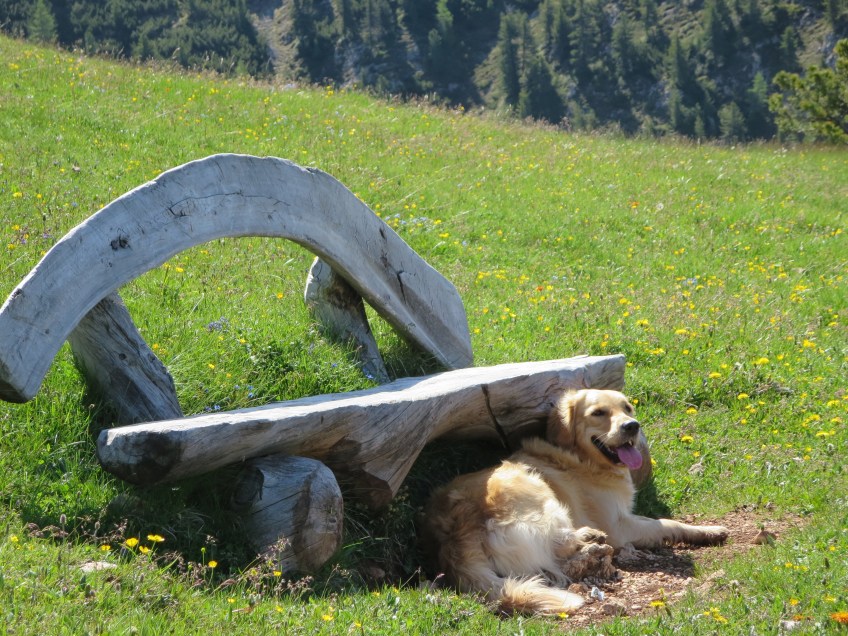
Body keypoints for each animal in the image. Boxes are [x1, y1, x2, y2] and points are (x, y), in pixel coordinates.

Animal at [421, 388, 729, 615]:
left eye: (627, 408)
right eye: (598, 413)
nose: (632, 426)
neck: (582, 458)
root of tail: (455, 535)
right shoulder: (619, 525)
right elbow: (666, 523)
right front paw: (708, 531)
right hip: (534, 489)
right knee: (556, 547)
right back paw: (587, 536)